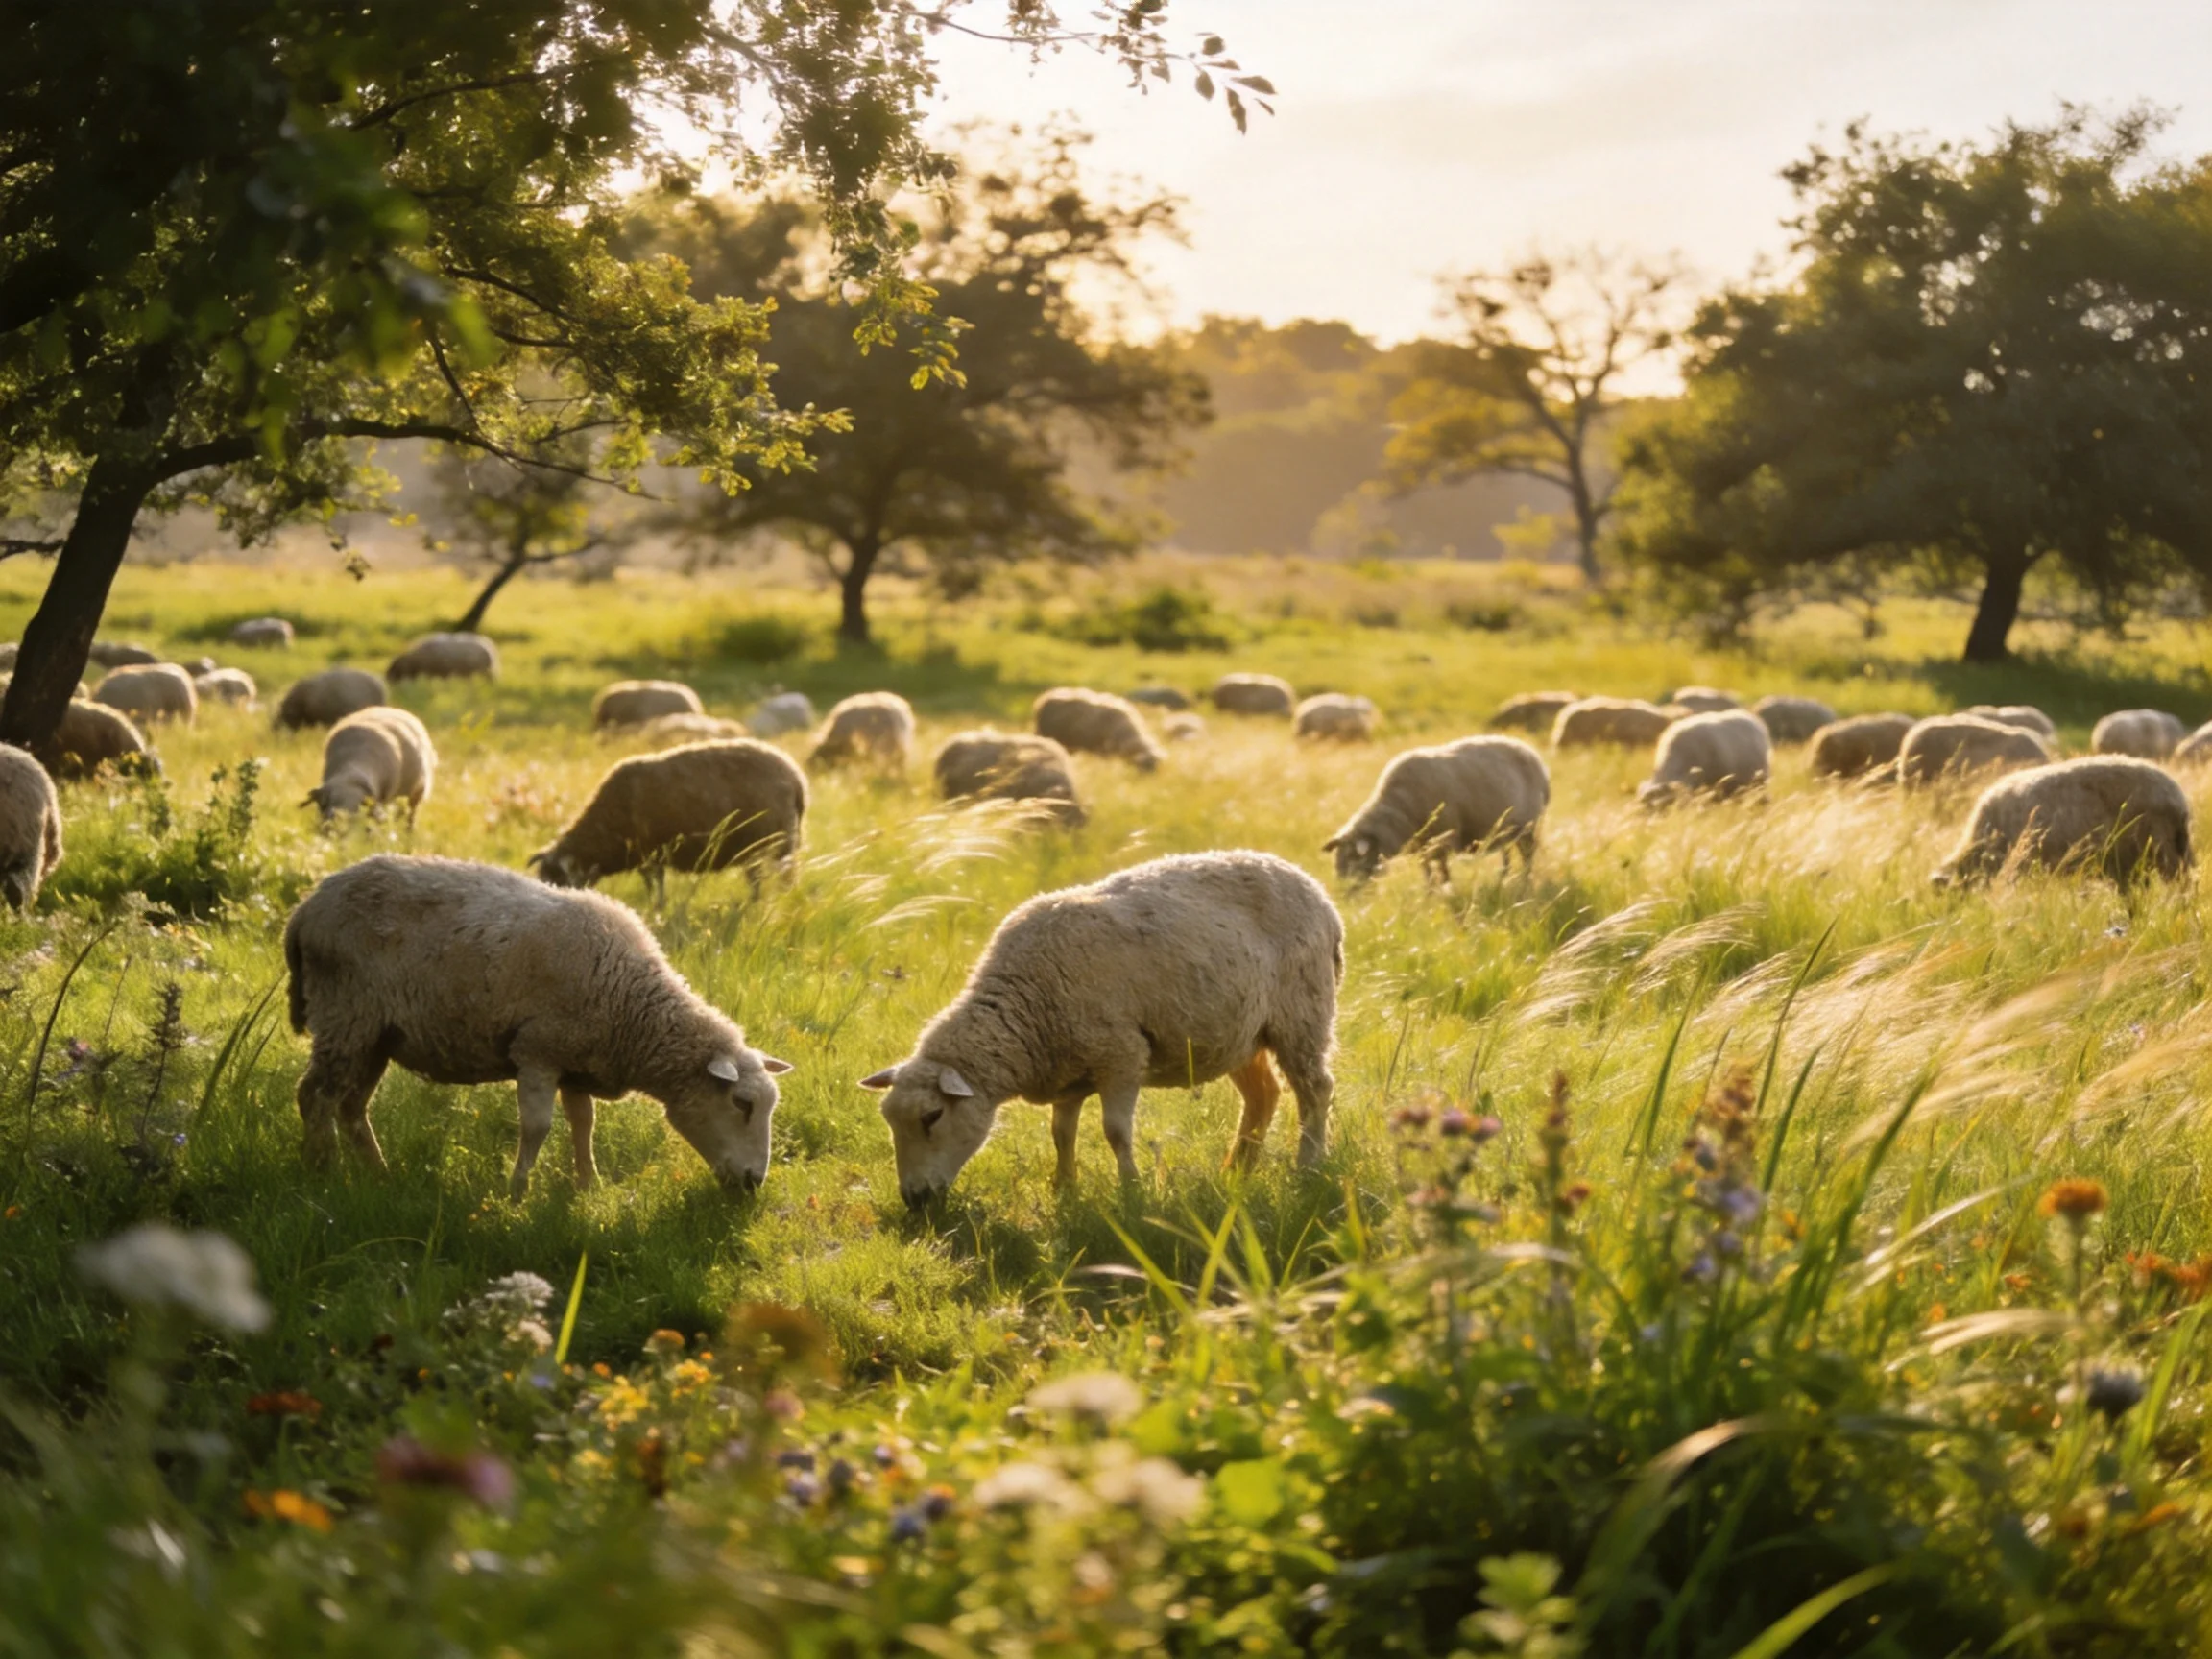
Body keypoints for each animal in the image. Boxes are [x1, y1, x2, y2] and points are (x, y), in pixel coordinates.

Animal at [284, 855, 792, 1197]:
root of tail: (308, 906)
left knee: (351, 1106)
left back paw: (378, 1173)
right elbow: (538, 1127)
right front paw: (518, 1192)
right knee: (315, 1096)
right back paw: (320, 1170)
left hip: (375, 1035)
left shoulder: (577, 1062)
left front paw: (588, 1184)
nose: (755, 1182)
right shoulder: (537, 1052)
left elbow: (584, 1124)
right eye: (742, 1103)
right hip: (345, 1016)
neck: (630, 1006)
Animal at [307, 707, 436, 821]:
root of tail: (392, 709)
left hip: (418, 789)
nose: (338, 818)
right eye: (331, 802)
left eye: (358, 806)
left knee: (411, 813)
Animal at [531, 739, 807, 894]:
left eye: (558, 879)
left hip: (772, 846)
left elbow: (657, 891)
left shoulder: (651, 856)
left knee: (780, 880)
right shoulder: (649, 858)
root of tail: (796, 778)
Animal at [859, 851, 1341, 1206]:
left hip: (1302, 1014)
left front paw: (1131, 1192)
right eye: (889, 1120)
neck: (1027, 1007)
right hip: (1236, 1034)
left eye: (932, 1116)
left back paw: (1309, 1166)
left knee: (1316, 1089)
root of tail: (1314, 889)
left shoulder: (1122, 1056)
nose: (914, 1200)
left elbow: (1115, 1132)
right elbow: (1061, 1133)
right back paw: (1236, 1171)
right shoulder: (1068, 1071)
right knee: (1264, 1095)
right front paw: (1065, 1190)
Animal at [1325, 735, 1549, 881]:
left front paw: (1446, 891)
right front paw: (1430, 895)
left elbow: (1442, 871)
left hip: (1528, 827)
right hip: (1505, 830)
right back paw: (1504, 877)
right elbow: (1427, 873)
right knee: (1507, 855)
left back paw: (1524, 882)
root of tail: (1534, 757)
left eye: (1353, 859)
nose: (1345, 897)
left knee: (1528, 858)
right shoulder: (1423, 845)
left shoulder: (1443, 840)